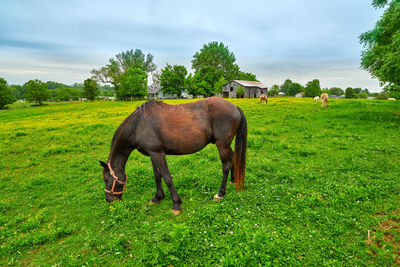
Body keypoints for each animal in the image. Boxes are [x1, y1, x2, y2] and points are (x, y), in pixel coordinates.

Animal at [100, 96, 247, 216]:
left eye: (106, 179)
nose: (108, 200)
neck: (138, 125)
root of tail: (234, 106)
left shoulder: (158, 154)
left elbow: (167, 178)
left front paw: (176, 204)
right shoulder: (153, 154)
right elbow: (157, 176)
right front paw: (157, 197)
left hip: (222, 145)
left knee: (225, 166)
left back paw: (220, 193)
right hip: (225, 145)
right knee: (233, 158)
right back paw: (233, 180)